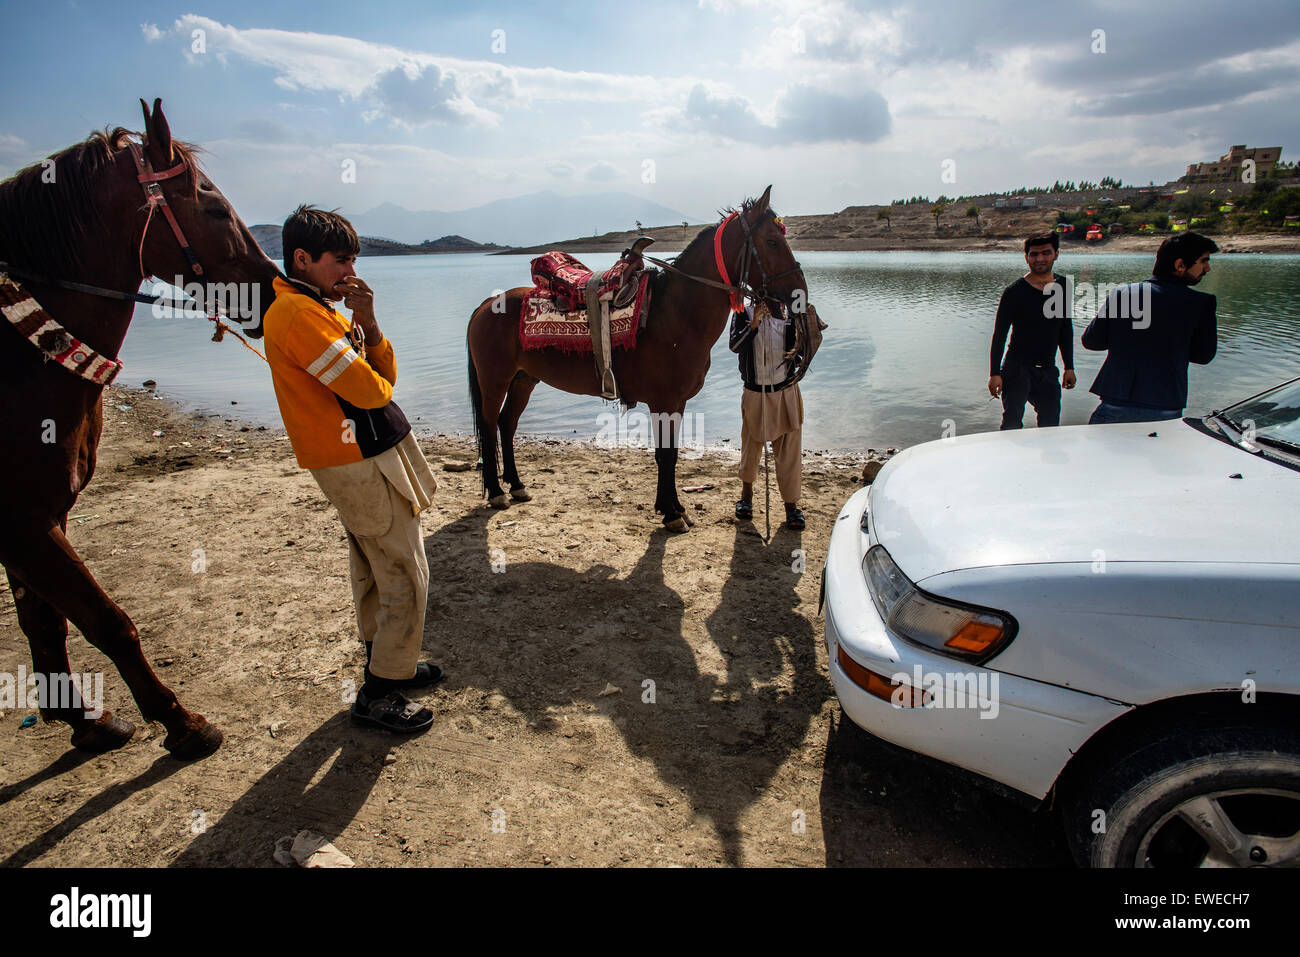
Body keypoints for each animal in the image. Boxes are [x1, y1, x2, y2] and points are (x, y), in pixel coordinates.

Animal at [0, 95, 279, 754]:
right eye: (212, 205)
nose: (273, 288)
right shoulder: (20, 521)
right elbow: (107, 620)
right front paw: (182, 722)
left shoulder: (46, 514)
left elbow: (45, 618)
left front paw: (85, 720)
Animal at [470, 187, 800, 530]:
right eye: (772, 241)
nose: (798, 291)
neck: (675, 313)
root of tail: (487, 305)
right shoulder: (663, 402)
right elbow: (665, 455)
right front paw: (671, 513)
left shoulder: (677, 402)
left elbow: (671, 454)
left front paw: (674, 507)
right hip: (494, 381)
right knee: (490, 425)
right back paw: (496, 492)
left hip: (523, 379)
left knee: (507, 425)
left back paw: (516, 486)